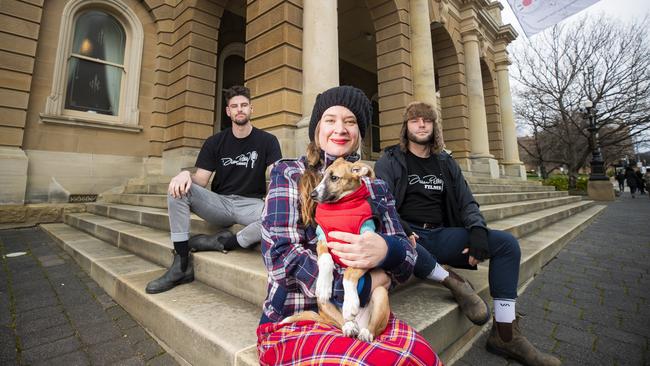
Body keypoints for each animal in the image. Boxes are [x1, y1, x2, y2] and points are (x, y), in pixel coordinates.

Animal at [280, 159, 388, 342]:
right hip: (322, 304)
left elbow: (349, 273)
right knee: (341, 320)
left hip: (381, 294)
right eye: (322, 176)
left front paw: (350, 303)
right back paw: (350, 326)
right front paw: (324, 284)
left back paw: (365, 332)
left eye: (334, 178)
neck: (342, 207)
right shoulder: (323, 238)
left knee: (373, 327)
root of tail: (361, 322)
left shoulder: (364, 249)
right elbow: (326, 259)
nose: (312, 195)